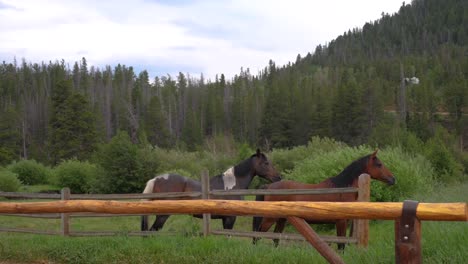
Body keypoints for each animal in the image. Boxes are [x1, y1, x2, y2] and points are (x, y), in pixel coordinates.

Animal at [141, 150, 282, 232]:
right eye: (266, 163)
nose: (278, 177)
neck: (231, 185)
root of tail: (156, 179)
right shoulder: (230, 218)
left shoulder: (225, 219)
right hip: (162, 215)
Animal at [252, 151, 394, 250]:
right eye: (379, 164)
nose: (393, 179)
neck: (342, 188)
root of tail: (268, 186)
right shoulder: (341, 222)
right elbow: (341, 245)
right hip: (270, 218)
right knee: (258, 235)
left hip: (282, 219)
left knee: (275, 237)